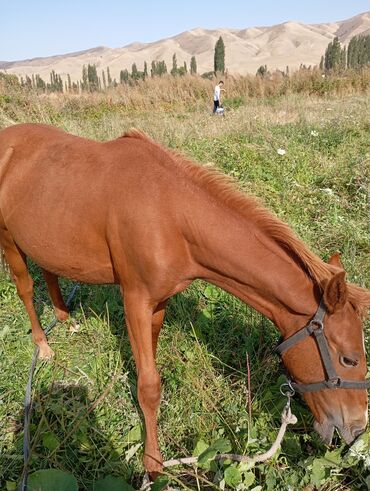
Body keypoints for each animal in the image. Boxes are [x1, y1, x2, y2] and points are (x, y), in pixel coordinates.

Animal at [0, 124, 370, 480]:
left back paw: (65, 318)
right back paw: (43, 345)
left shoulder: (159, 301)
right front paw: (153, 464)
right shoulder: (135, 301)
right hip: (10, 241)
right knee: (27, 288)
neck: (170, 215)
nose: (357, 429)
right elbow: (149, 386)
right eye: (349, 359)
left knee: (49, 271)